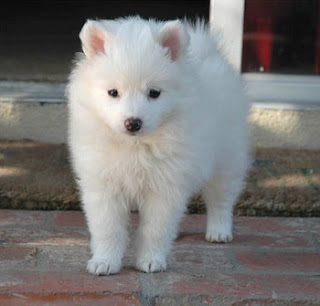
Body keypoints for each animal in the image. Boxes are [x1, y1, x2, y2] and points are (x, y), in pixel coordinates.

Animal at [67, 16, 250, 274]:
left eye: (154, 93)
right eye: (113, 92)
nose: (133, 122)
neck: (135, 146)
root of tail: (208, 53)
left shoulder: (165, 188)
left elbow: (155, 229)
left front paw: (150, 260)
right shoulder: (103, 185)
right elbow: (108, 228)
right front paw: (105, 261)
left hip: (227, 157)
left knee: (221, 198)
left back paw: (219, 230)